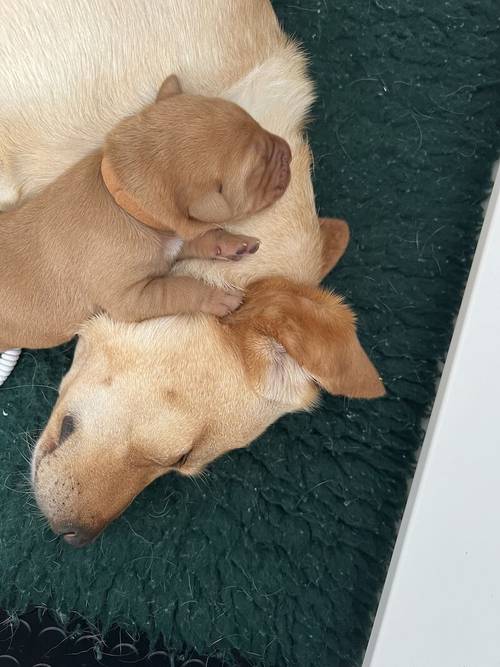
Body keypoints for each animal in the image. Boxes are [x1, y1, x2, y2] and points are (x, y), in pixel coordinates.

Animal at [0, 75, 290, 352]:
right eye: (260, 166)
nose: (288, 151)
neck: (122, 201)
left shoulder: (171, 239)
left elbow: (198, 238)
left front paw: (231, 243)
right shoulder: (131, 298)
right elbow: (179, 287)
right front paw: (217, 296)